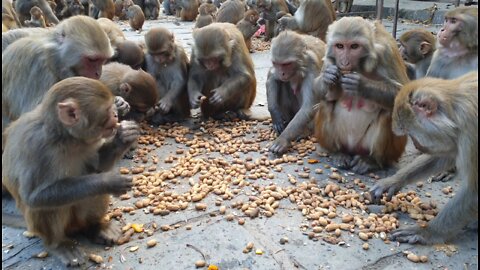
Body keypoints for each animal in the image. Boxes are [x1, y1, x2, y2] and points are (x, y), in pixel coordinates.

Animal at [1, 76, 139, 266]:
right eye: (107, 111)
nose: (116, 115)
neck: (65, 138)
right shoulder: (37, 147)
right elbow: (34, 197)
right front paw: (108, 181)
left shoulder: (89, 141)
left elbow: (98, 166)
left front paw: (124, 136)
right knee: (48, 207)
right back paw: (59, 244)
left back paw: (95, 226)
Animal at [312, 16, 408, 174]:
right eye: (340, 46)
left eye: (354, 46)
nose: (344, 62)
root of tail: (353, 150)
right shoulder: (330, 58)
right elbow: (316, 89)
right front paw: (328, 77)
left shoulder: (387, 51)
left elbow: (402, 93)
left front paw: (361, 84)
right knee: (326, 103)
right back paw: (338, 153)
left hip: (385, 150)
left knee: (388, 112)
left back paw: (372, 161)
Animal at [372, 71, 476, 245]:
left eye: (410, 132)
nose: (416, 145)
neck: (456, 111)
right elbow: (446, 154)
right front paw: (393, 181)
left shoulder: (471, 134)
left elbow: (473, 191)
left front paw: (426, 231)